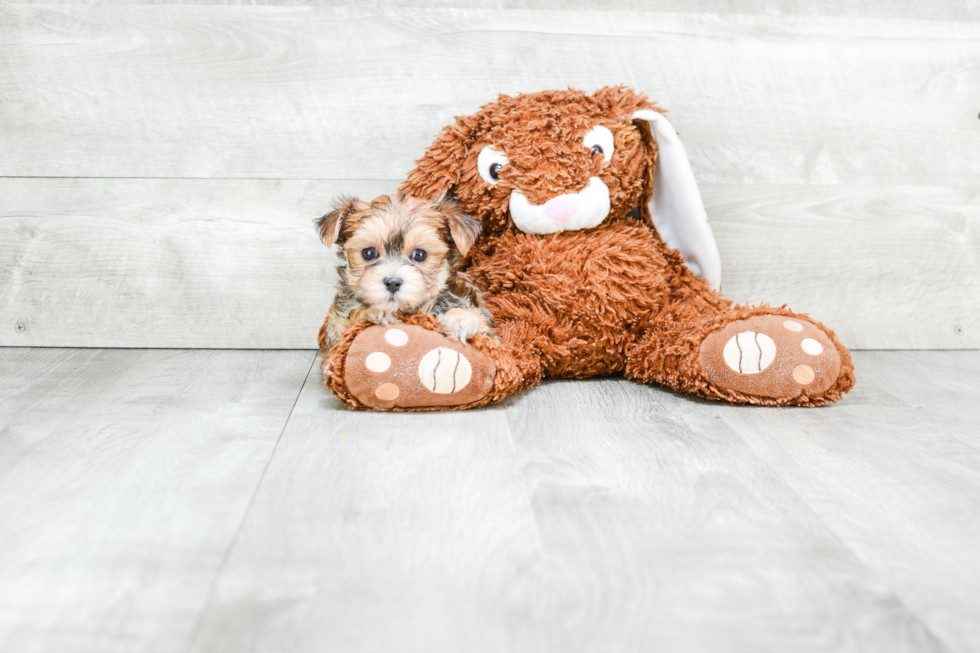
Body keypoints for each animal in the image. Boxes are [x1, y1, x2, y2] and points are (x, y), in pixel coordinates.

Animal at [318, 192, 494, 348]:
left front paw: (461, 319)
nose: (392, 282)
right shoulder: (338, 330)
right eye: (369, 253)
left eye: (420, 254)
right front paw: (374, 313)